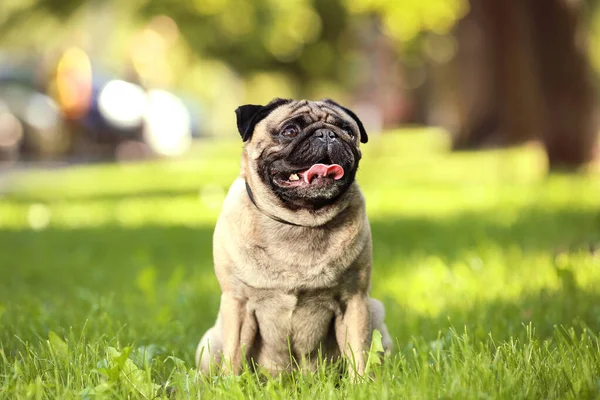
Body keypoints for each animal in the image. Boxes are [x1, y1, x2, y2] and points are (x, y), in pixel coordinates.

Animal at [197, 97, 394, 378]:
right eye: (290, 131)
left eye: (348, 130)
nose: (327, 134)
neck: (300, 221)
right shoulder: (238, 303)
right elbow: (233, 356)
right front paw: (230, 385)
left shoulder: (354, 300)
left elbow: (359, 354)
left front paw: (362, 384)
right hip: (211, 339)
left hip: (375, 312)